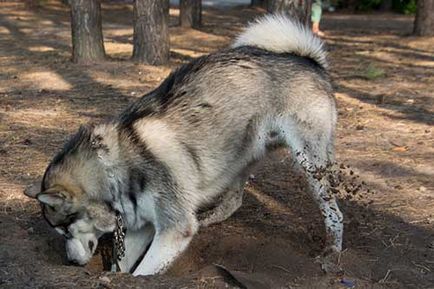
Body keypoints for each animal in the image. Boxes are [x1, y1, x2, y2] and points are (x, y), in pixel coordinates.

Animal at [24, 15, 342, 274]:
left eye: (65, 231)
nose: (70, 262)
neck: (113, 169)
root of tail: (306, 60)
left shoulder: (174, 229)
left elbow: (143, 273)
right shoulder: (143, 227)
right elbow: (124, 269)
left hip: (310, 165)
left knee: (335, 214)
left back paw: (331, 253)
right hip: (239, 156)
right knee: (234, 200)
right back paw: (210, 218)